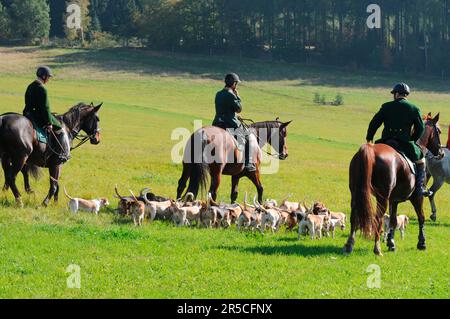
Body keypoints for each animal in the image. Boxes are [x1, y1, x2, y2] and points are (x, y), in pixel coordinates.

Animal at [344, 114, 442, 256]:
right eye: (439, 131)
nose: (441, 152)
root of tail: (370, 150)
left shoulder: (393, 200)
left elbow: (393, 220)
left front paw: (391, 243)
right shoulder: (417, 197)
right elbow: (421, 217)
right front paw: (421, 243)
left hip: (356, 192)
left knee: (354, 215)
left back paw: (349, 244)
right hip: (382, 197)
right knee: (378, 218)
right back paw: (377, 248)